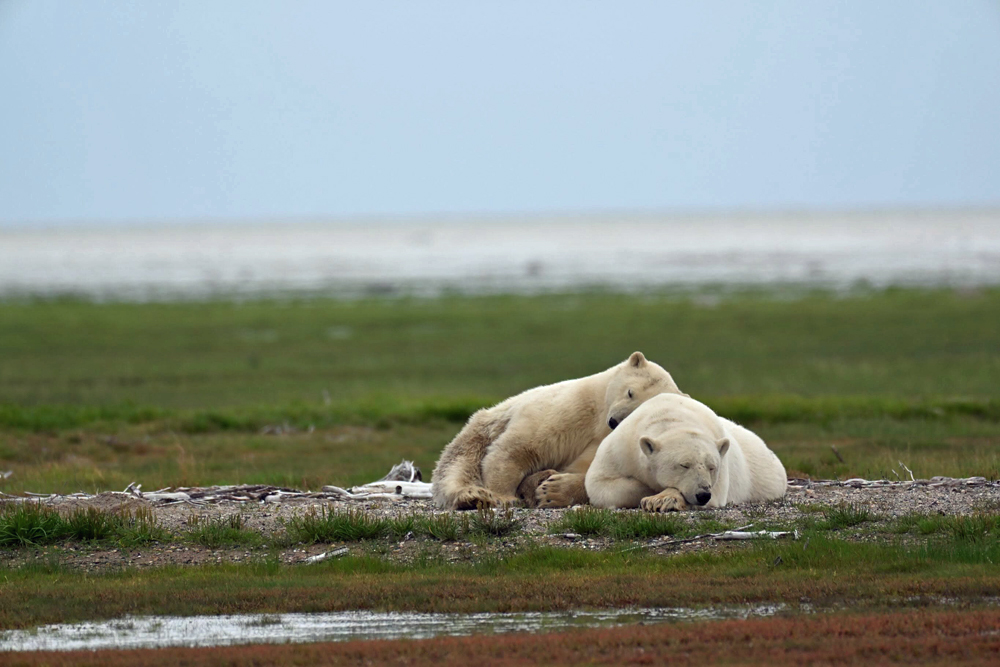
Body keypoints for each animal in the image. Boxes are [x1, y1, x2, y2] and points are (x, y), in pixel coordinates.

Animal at [431, 352, 683, 510]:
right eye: (630, 392)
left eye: (640, 407)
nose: (615, 422)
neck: (598, 414)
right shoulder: (572, 408)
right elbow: (520, 448)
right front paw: (505, 496)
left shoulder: (609, 439)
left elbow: (594, 472)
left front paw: (552, 491)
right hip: (480, 432)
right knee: (457, 466)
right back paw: (472, 496)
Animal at [585, 393, 786, 511]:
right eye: (684, 465)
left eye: (712, 467)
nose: (703, 494)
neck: (670, 418)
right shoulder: (620, 450)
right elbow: (599, 483)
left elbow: (716, 492)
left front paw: (660, 500)